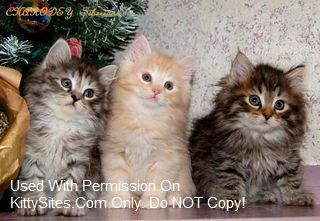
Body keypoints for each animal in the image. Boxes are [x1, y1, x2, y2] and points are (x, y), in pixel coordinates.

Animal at [15, 39, 117, 216]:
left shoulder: (78, 160)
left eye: (89, 93)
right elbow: (32, 181)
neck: (61, 124)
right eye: (66, 83)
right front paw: (33, 203)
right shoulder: (31, 155)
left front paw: (66, 205)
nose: (76, 97)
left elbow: (70, 185)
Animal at [99, 35, 195, 208]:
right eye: (146, 77)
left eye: (168, 85)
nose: (156, 91)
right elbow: (117, 179)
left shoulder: (167, 157)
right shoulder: (113, 151)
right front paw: (117, 198)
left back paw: (173, 198)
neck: (145, 120)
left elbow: (157, 182)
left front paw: (152, 200)